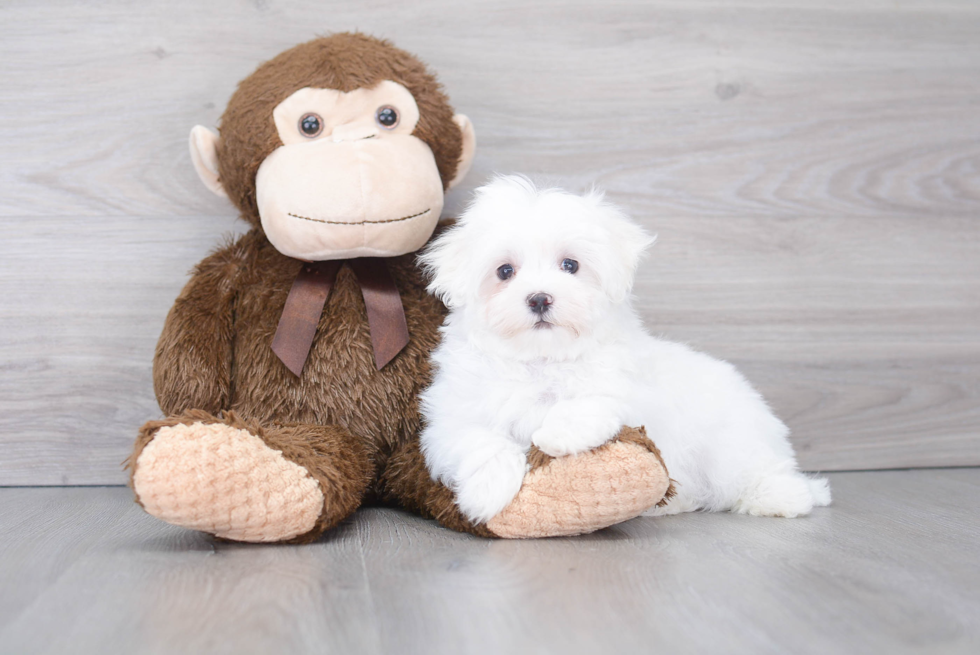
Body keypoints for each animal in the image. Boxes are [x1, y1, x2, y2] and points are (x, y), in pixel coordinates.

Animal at [418, 174, 832, 524]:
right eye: (505, 271)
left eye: (570, 265)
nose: (538, 298)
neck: (542, 358)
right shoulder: (449, 419)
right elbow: (478, 440)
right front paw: (486, 493)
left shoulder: (628, 392)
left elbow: (593, 401)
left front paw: (556, 432)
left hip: (732, 444)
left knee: (756, 473)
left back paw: (782, 496)